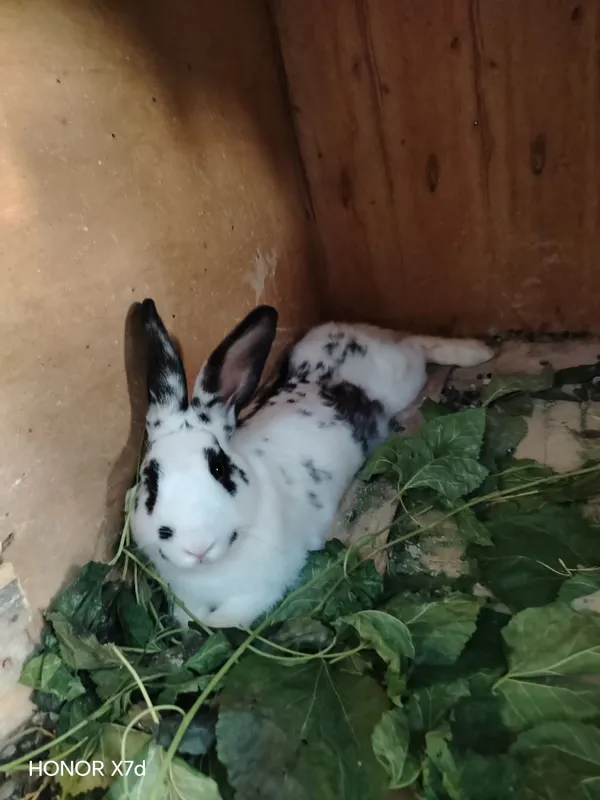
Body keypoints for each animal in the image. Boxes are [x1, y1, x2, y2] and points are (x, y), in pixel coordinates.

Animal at [130, 299, 493, 629]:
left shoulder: (260, 592)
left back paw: (478, 352)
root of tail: (350, 329)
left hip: (404, 374)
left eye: (219, 469)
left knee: (417, 345)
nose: (197, 546)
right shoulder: (184, 598)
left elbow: (223, 621)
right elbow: (191, 619)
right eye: (150, 482)